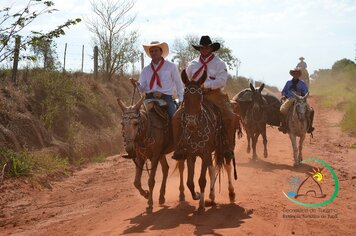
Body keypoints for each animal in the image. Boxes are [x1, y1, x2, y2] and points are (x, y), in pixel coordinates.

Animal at [172, 69, 236, 214]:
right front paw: (196, 195)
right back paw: (211, 197)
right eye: (185, 97)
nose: (191, 123)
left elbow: (201, 180)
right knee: (211, 169)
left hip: (225, 147)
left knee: (228, 165)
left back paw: (231, 193)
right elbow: (190, 181)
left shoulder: (205, 152)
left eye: (199, 98)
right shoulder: (191, 154)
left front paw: (201, 205)